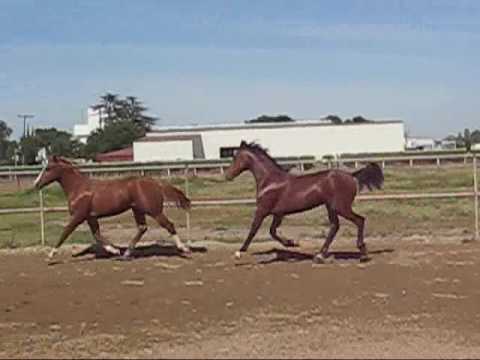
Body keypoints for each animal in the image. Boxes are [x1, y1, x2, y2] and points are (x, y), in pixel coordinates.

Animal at [34, 156, 191, 260]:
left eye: (48, 168)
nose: (36, 184)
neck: (79, 188)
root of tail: (156, 183)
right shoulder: (91, 217)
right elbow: (97, 235)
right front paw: (114, 251)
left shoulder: (79, 216)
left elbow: (65, 232)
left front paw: (50, 255)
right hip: (138, 210)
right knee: (142, 228)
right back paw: (126, 253)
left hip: (154, 210)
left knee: (169, 225)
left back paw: (184, 249)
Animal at [226, 141, 386, 262]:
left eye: (236, 158)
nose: (227, 175)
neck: (270, 181)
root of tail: (352, 176)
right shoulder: (278, 213)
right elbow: (272, 231)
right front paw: (292, 243)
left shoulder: (262, 210)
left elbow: (253, 229)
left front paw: (239, 252)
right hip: (331, 207)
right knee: (335, 226)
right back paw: (320, 255)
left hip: (341, 207)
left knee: (359, 220)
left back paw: (363, 254)